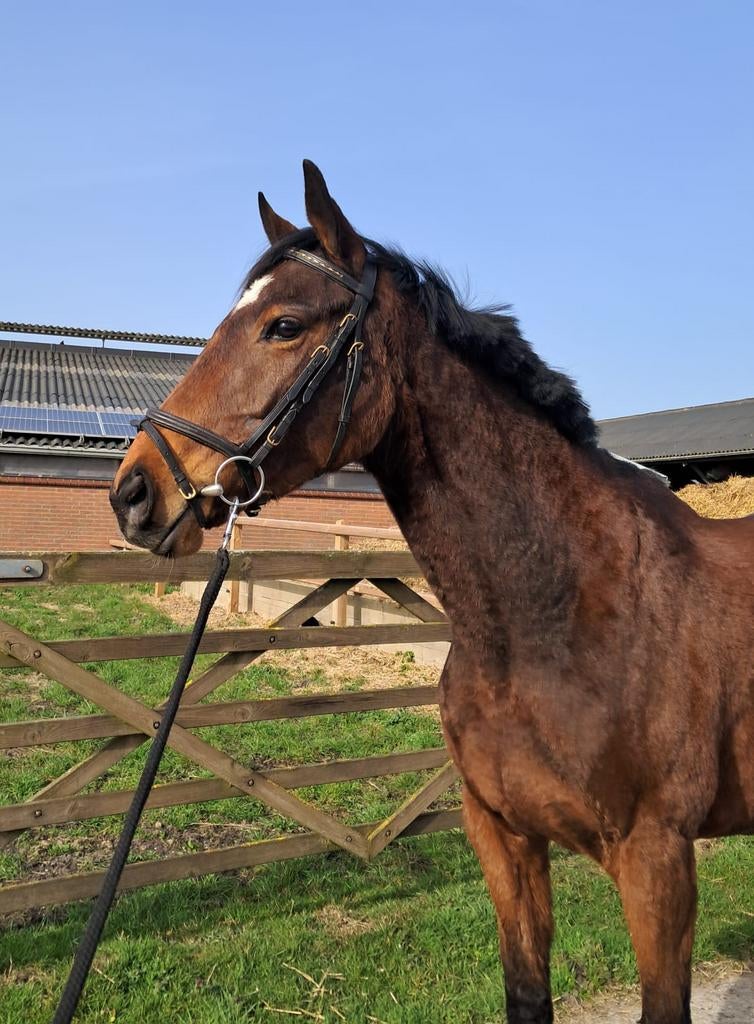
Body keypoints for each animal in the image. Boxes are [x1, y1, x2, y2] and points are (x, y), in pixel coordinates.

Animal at [110, 160, 754, 1024]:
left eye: (283, 325)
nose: (133, 492)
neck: (559, 616)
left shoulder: (659, 863)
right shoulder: (504, 841)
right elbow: (526, 992)